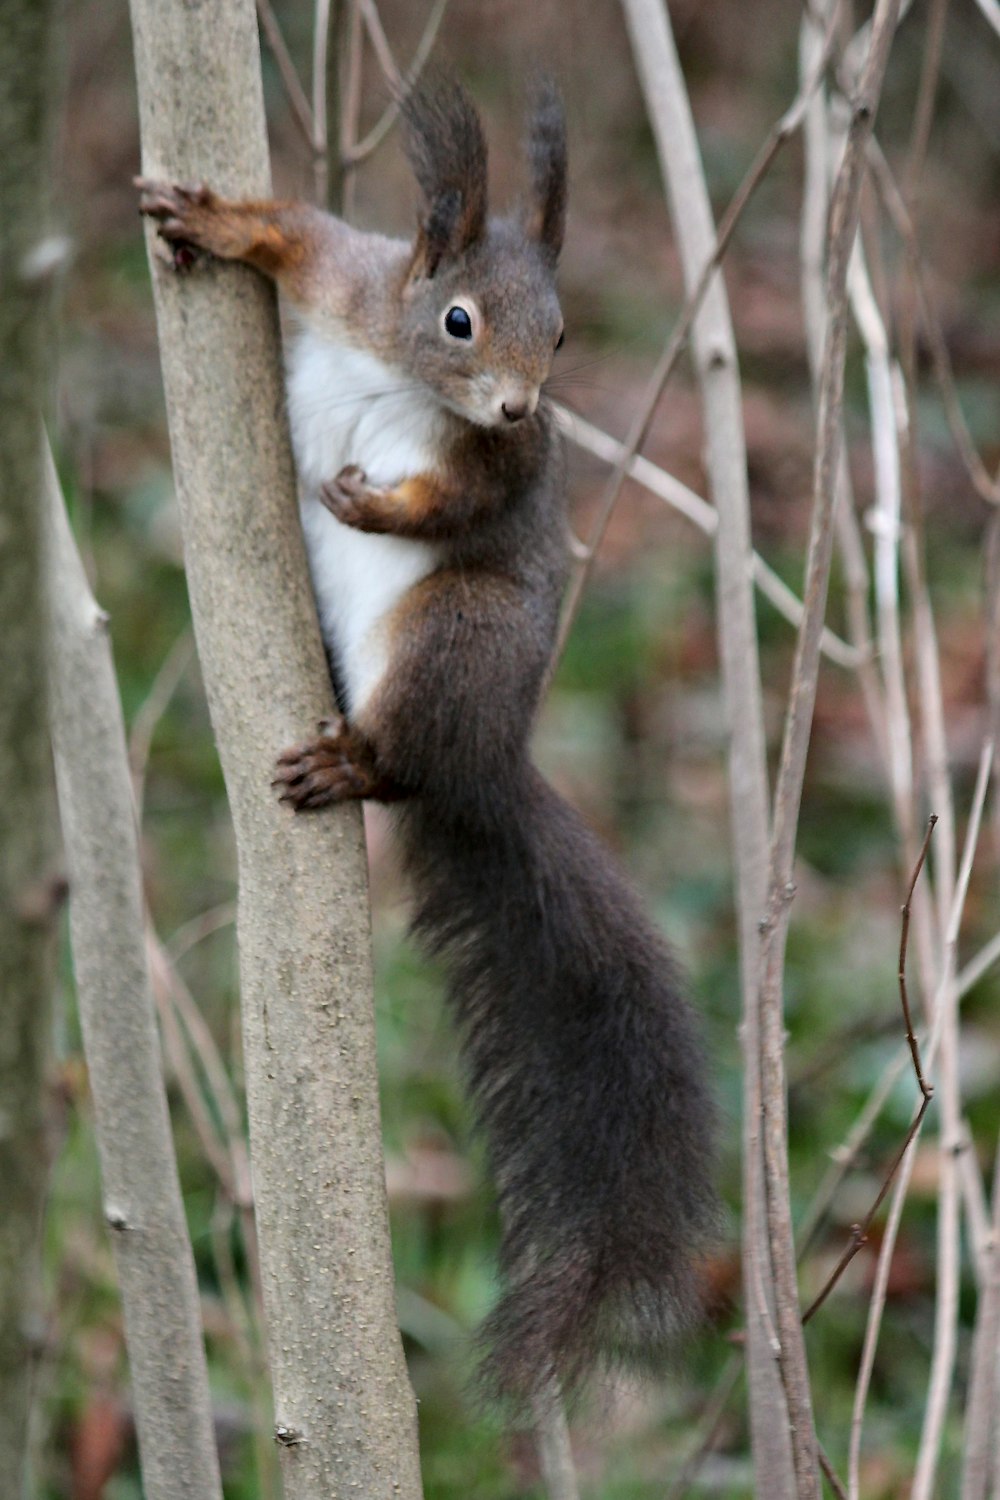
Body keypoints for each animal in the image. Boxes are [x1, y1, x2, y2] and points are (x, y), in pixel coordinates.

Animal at [138, 79, 719, 1392]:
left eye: (560, 334)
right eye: (457, 318)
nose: (516, 401)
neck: (410, 383)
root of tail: (490, 761)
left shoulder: (505, 466)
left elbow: (464, 498)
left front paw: (376, 502)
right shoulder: (350, 283)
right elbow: (295, 235)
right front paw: (214, 219)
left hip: (456, 636)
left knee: (403, 763)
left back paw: (351, 759)